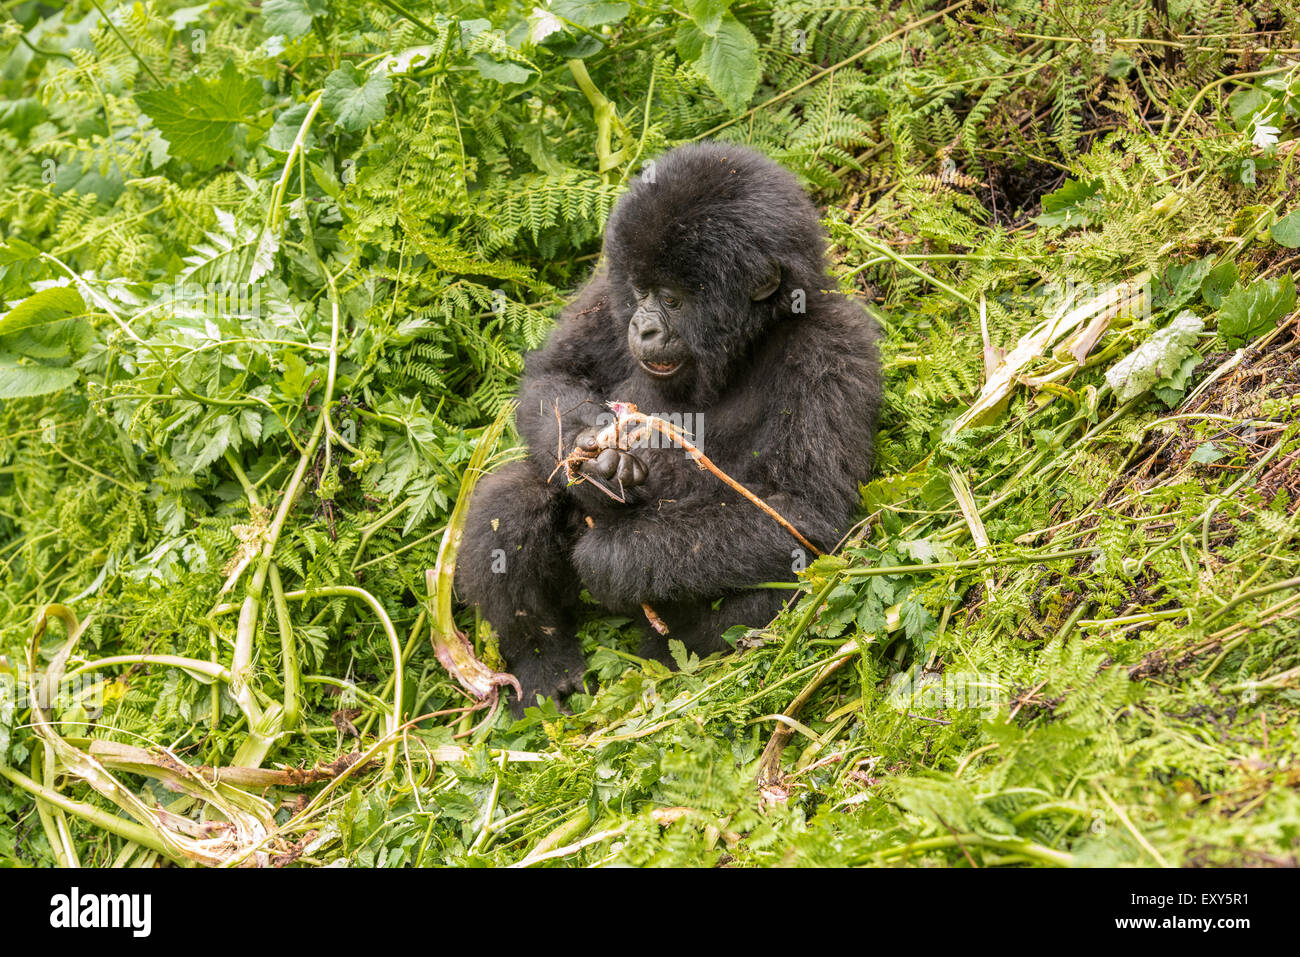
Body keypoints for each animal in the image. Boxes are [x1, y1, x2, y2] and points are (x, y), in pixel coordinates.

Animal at [452, 140, 878, 712]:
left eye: (672, 299)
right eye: (640, 291)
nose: (643, 326)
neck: (747, 343)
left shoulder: (833, 345)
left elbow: (802, 511)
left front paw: (613, 557)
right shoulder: (604, 291)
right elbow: (556, 375)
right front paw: (597, 462)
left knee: (787, 579)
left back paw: (670, 658)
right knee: (513, 497)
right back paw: (543, 663)